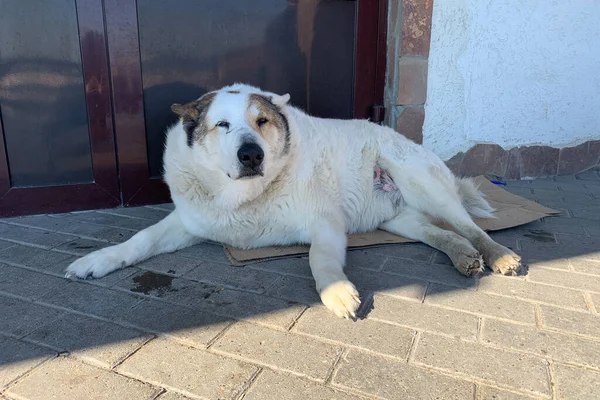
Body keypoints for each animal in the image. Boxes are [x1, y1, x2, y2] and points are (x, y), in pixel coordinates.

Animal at [67, 83, 520, 318]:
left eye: (262, 121)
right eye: (223, 125)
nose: (251, 155)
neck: (244, 198)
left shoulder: (326, 224)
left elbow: (318, 258)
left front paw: (337, 292)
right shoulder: (191, 220)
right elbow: (139, 239)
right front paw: (96, 261)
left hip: (419, 178)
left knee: (469, 226)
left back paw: (499, 256)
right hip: (397, 219)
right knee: (441, 233)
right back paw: (464, 257)